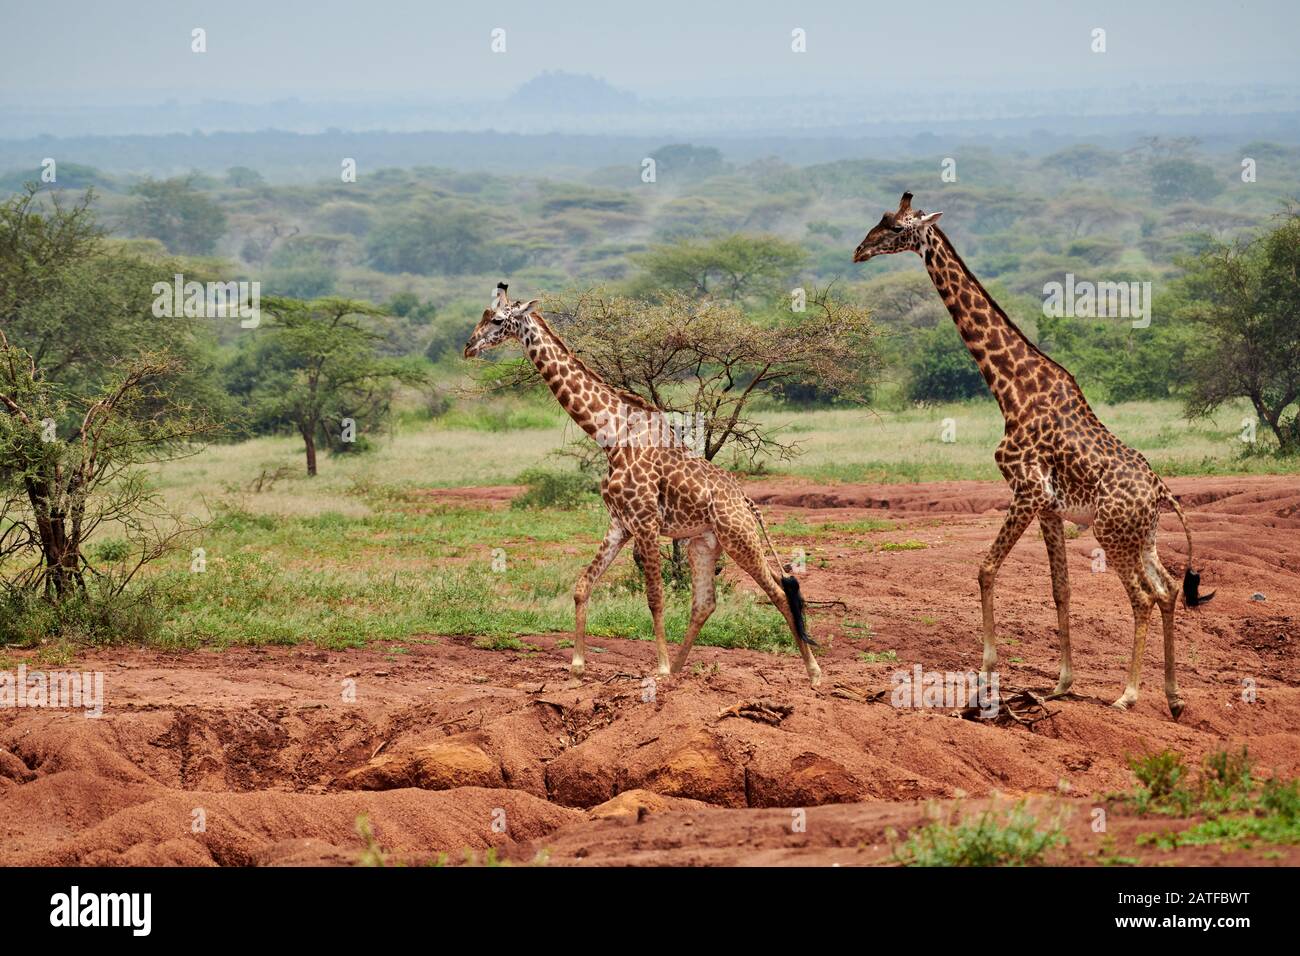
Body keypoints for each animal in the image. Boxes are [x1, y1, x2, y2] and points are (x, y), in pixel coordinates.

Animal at [462, 283, 816, 686]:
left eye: (498, 320)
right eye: (483, 315)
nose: (468, 347)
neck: (612, 438)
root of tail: (746, 501)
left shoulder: (645, 523)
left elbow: (654, 597)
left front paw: (657, 668)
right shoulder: (620, 523)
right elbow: (582, 586)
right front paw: (578, 664)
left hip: (738, 536)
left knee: (779, 591)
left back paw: (813, 672)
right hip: (704, 542)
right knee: (705, 602)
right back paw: (679, 669)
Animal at [852, 192, 1206, 717]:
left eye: (896, 227)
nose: (859, 251)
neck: (1010, 390)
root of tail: (1162, 490)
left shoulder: (1027, 490)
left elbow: (985, 569)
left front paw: (986, 675)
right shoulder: (1049, 506)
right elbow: (1061, 588)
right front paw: (1061, 683)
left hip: (1112, 532)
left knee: (1144, 597)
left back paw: (1128, 694)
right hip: (1143, 536)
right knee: (1166, 590)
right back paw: (1174, 696)